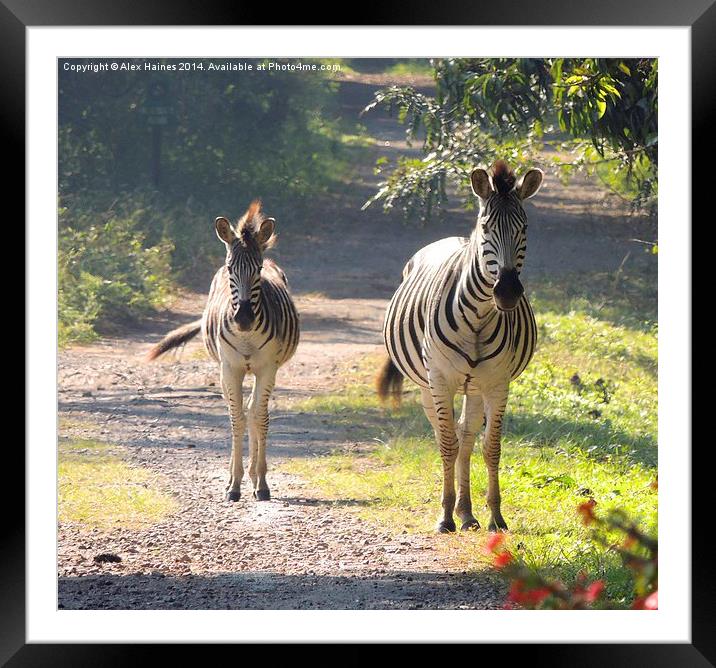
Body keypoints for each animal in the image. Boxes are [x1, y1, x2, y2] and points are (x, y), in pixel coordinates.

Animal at [148, 201, 300, 504]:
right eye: (231, 268)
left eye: (258, 269)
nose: (243, 319)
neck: (247, 337)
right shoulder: (230, 368)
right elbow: (236, 419)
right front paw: (234, 485)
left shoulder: (267, 368)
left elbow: (258, 417)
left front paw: (261, 483)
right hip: (223, 370)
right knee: (238, 411)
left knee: (253, 411)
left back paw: (254, 476)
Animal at [378, 160, 540, 532]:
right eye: (486, 227)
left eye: (524, 228)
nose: (507, 292)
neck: (479, 316)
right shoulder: (440, 379)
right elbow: (447, 445)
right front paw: (444, 517)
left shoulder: (497, 383)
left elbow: (490, 447)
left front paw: (496, 517)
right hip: (429, 385)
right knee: (447, 436)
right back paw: (456, 511)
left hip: (476, 386)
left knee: (466, 437)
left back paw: (467, 512)